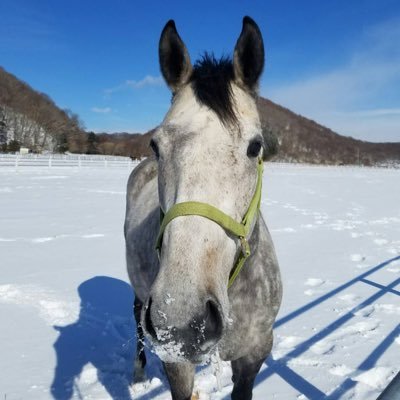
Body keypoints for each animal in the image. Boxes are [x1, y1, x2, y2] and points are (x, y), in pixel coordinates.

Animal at [124, 16, 282, 400]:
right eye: (156, 144)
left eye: (255, 147)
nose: (181, 322)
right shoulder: (176, 361)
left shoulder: (255, 352)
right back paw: (138, 374)